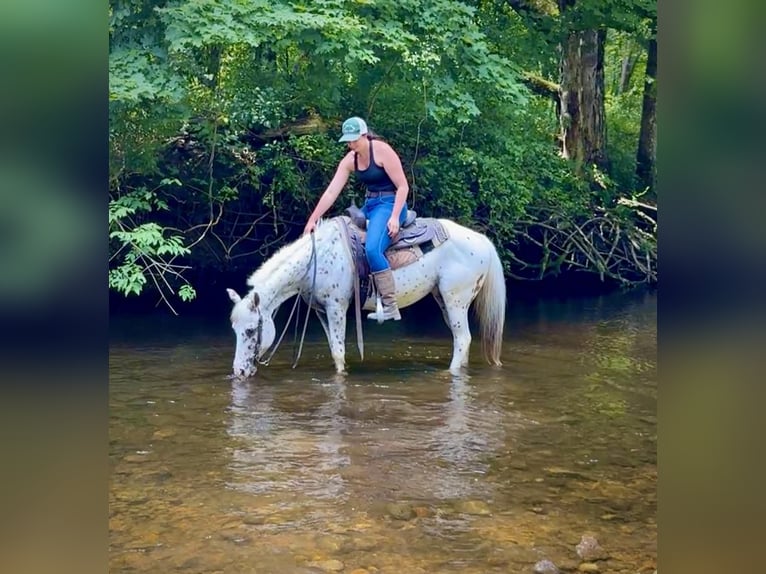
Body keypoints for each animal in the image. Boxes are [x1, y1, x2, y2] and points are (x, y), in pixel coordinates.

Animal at [225, 214, 508, 380]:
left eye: (250, 330)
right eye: (235, 330)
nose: (239, 371)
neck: (317, 259)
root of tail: (483, 240)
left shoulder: (336, 307)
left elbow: (339, 352)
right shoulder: (322, 311)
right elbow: (333, 349)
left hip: (455, 300)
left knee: (463, 339)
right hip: (444, 301)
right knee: (463, 341)